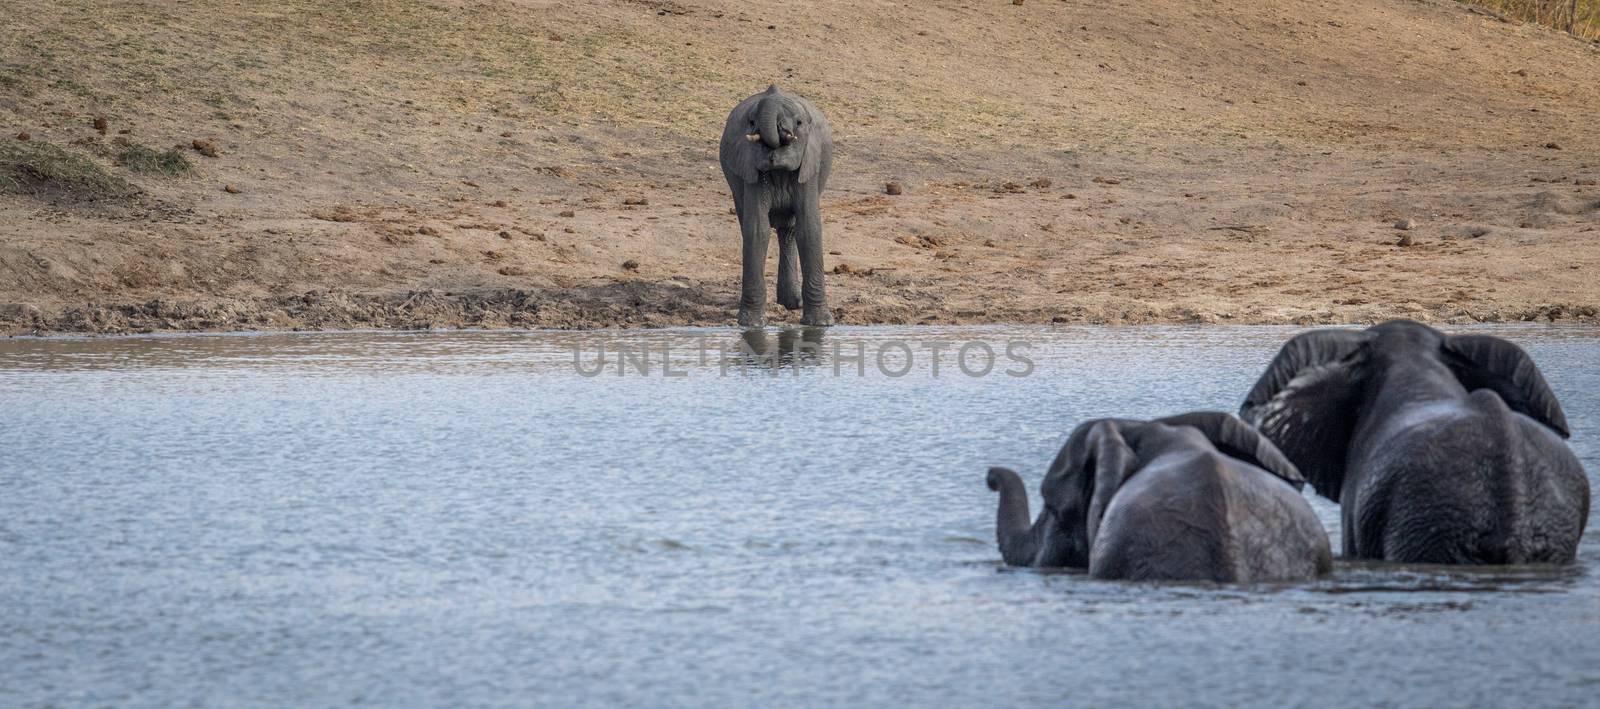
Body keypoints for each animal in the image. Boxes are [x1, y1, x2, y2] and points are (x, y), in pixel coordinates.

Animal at [716, 85, 832, 328]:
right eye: (751, 122)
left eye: (798, 122)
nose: (780, 131)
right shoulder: (750, 168)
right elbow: (757, 231)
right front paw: (751, 325)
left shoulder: (809, 166)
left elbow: (809, 230)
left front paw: (820, 324)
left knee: (789, 231)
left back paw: (791, 304)